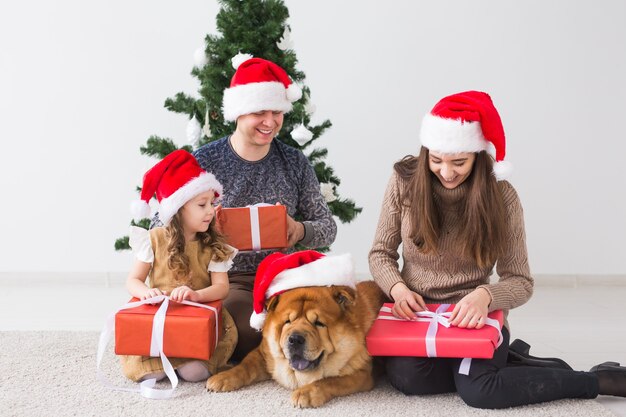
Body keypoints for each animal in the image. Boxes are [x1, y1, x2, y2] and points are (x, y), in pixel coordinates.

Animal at [206, 280, 380, 406]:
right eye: (287, 321)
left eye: (319, 323)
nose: (295, 339)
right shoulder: (263, 354)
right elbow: (244, 367)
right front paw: (221, 378)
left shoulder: (361, 374)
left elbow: (330, 380)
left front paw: (306, 393)